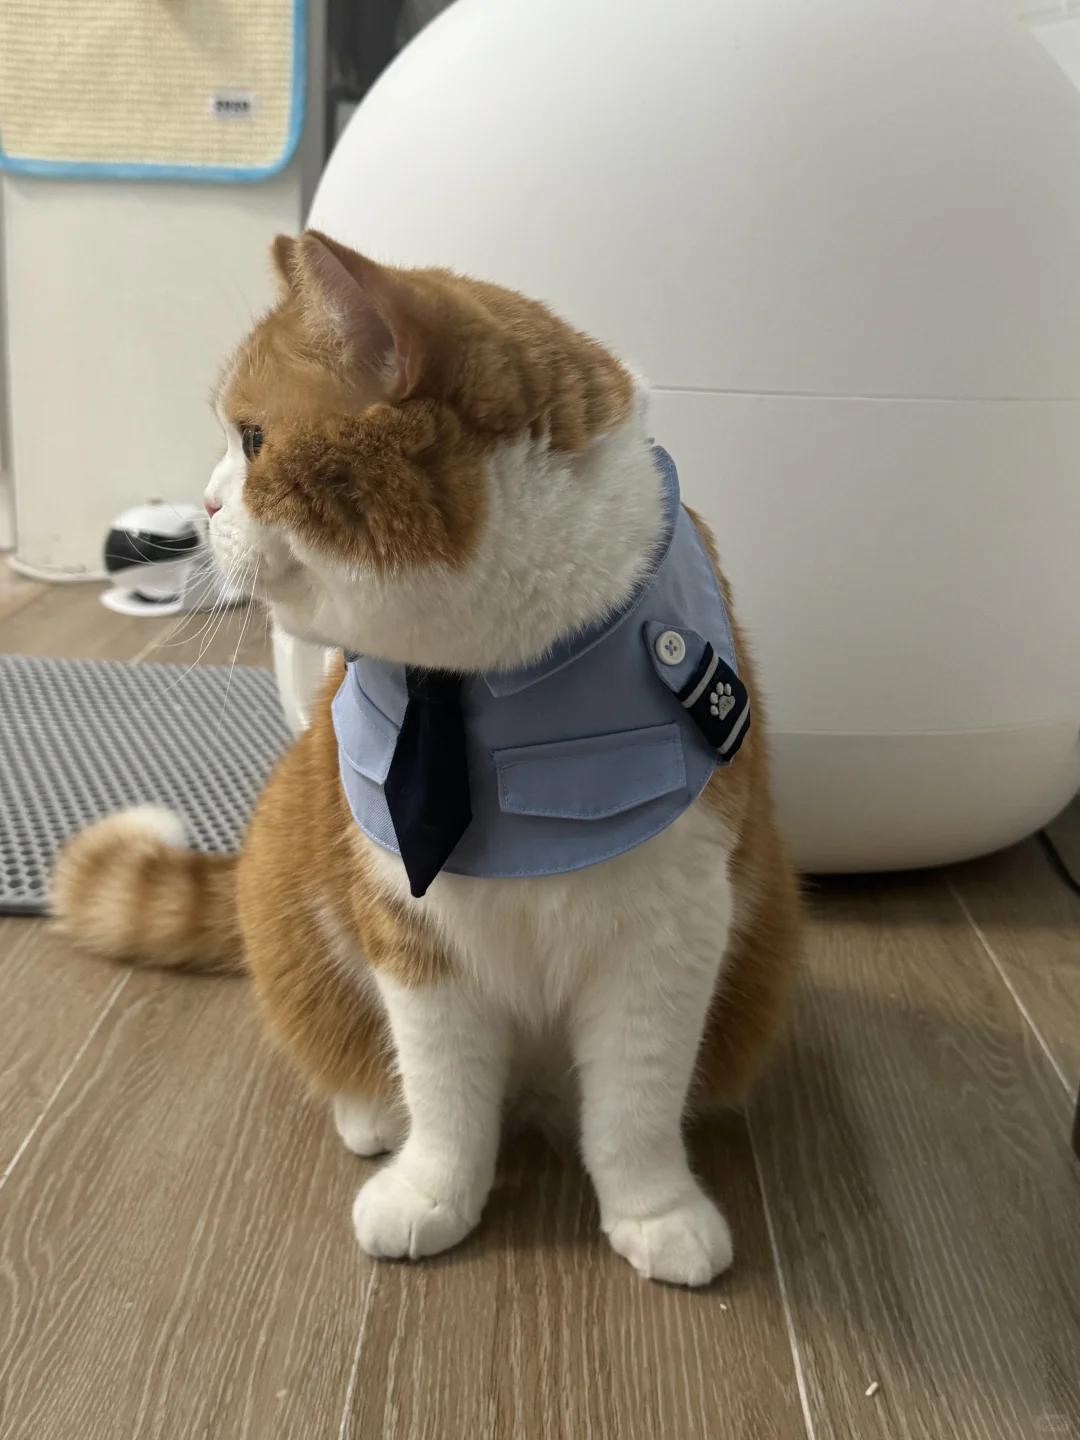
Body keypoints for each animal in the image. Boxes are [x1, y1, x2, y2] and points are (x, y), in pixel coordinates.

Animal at [52, 231, 801, 1287]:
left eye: (252, 441)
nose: (200, 505)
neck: (482, 683)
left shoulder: (671, 933)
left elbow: (635, 1105)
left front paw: (655, 1211)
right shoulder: (411, 933)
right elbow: (446, 1097)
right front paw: (434, 1192)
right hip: (289, 886)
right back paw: (373, 1116)